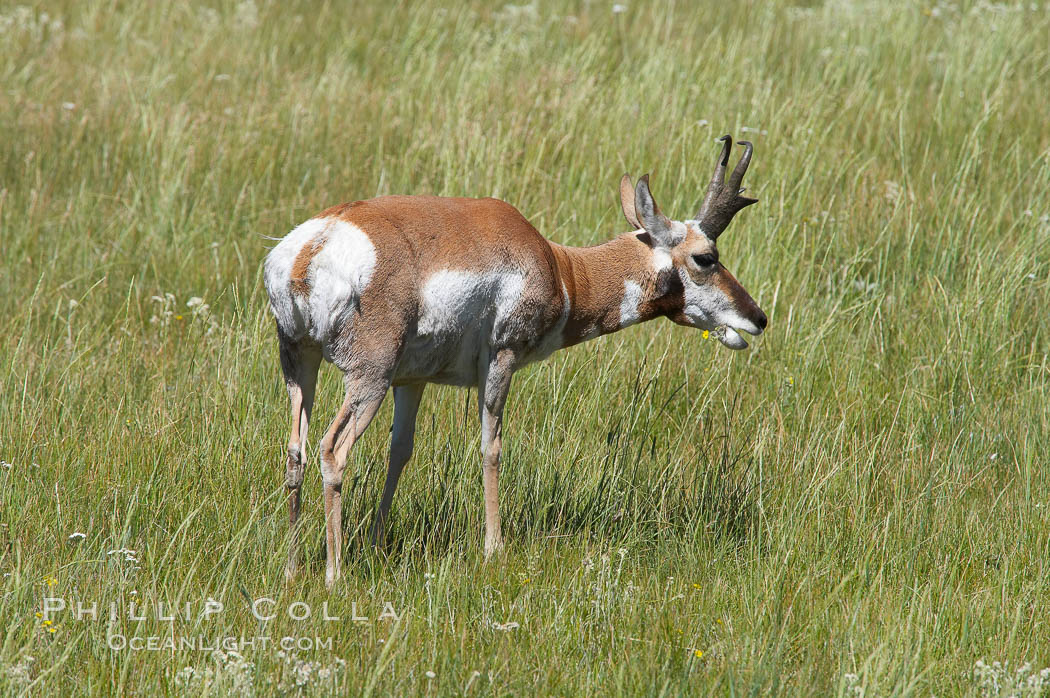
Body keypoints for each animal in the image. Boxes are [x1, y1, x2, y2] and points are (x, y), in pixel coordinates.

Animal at [266, 134, 768, 583]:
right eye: (706, 257)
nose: (759, 318)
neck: (562, 269)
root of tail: (309, 249)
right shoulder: (500, 360)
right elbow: (491, 447)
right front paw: (495, 548)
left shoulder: (412, 381)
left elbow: (400, 451)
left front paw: (376, 543)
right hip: (368, 377)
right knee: (332, 450)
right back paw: (334, 575)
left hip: (302, 366)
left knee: (296, 452)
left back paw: (291, 569)